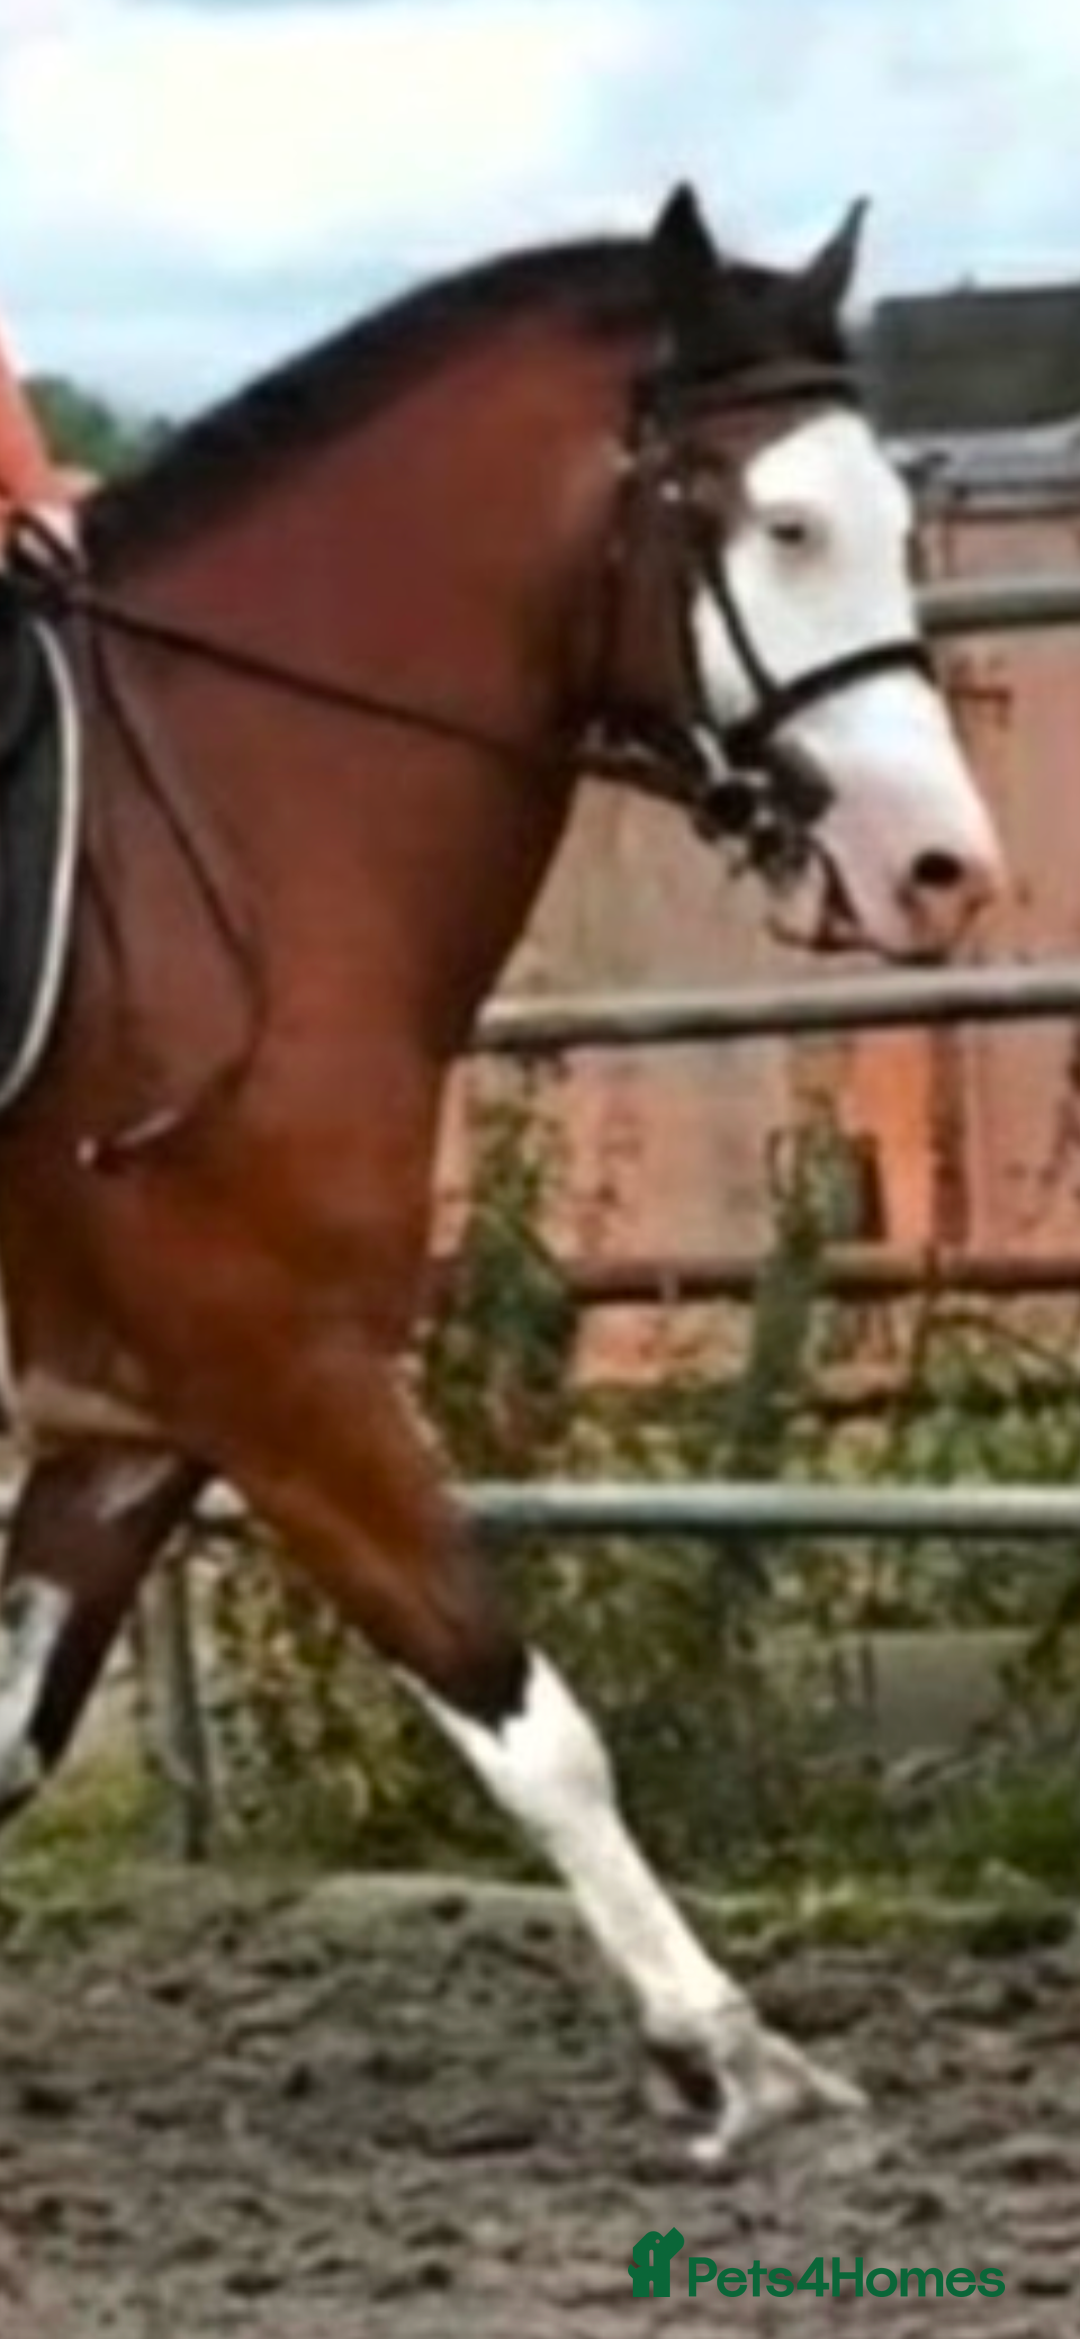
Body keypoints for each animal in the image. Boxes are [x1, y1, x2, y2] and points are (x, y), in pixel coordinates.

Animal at [0, 184, 1004, 2165]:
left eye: (892, 511)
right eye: (780, 524)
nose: (942, 866)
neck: (215, 846)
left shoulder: (131, 1427)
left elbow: (2, 1745)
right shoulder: (286, 1378)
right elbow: (527, 1711)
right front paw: (733, 2055)